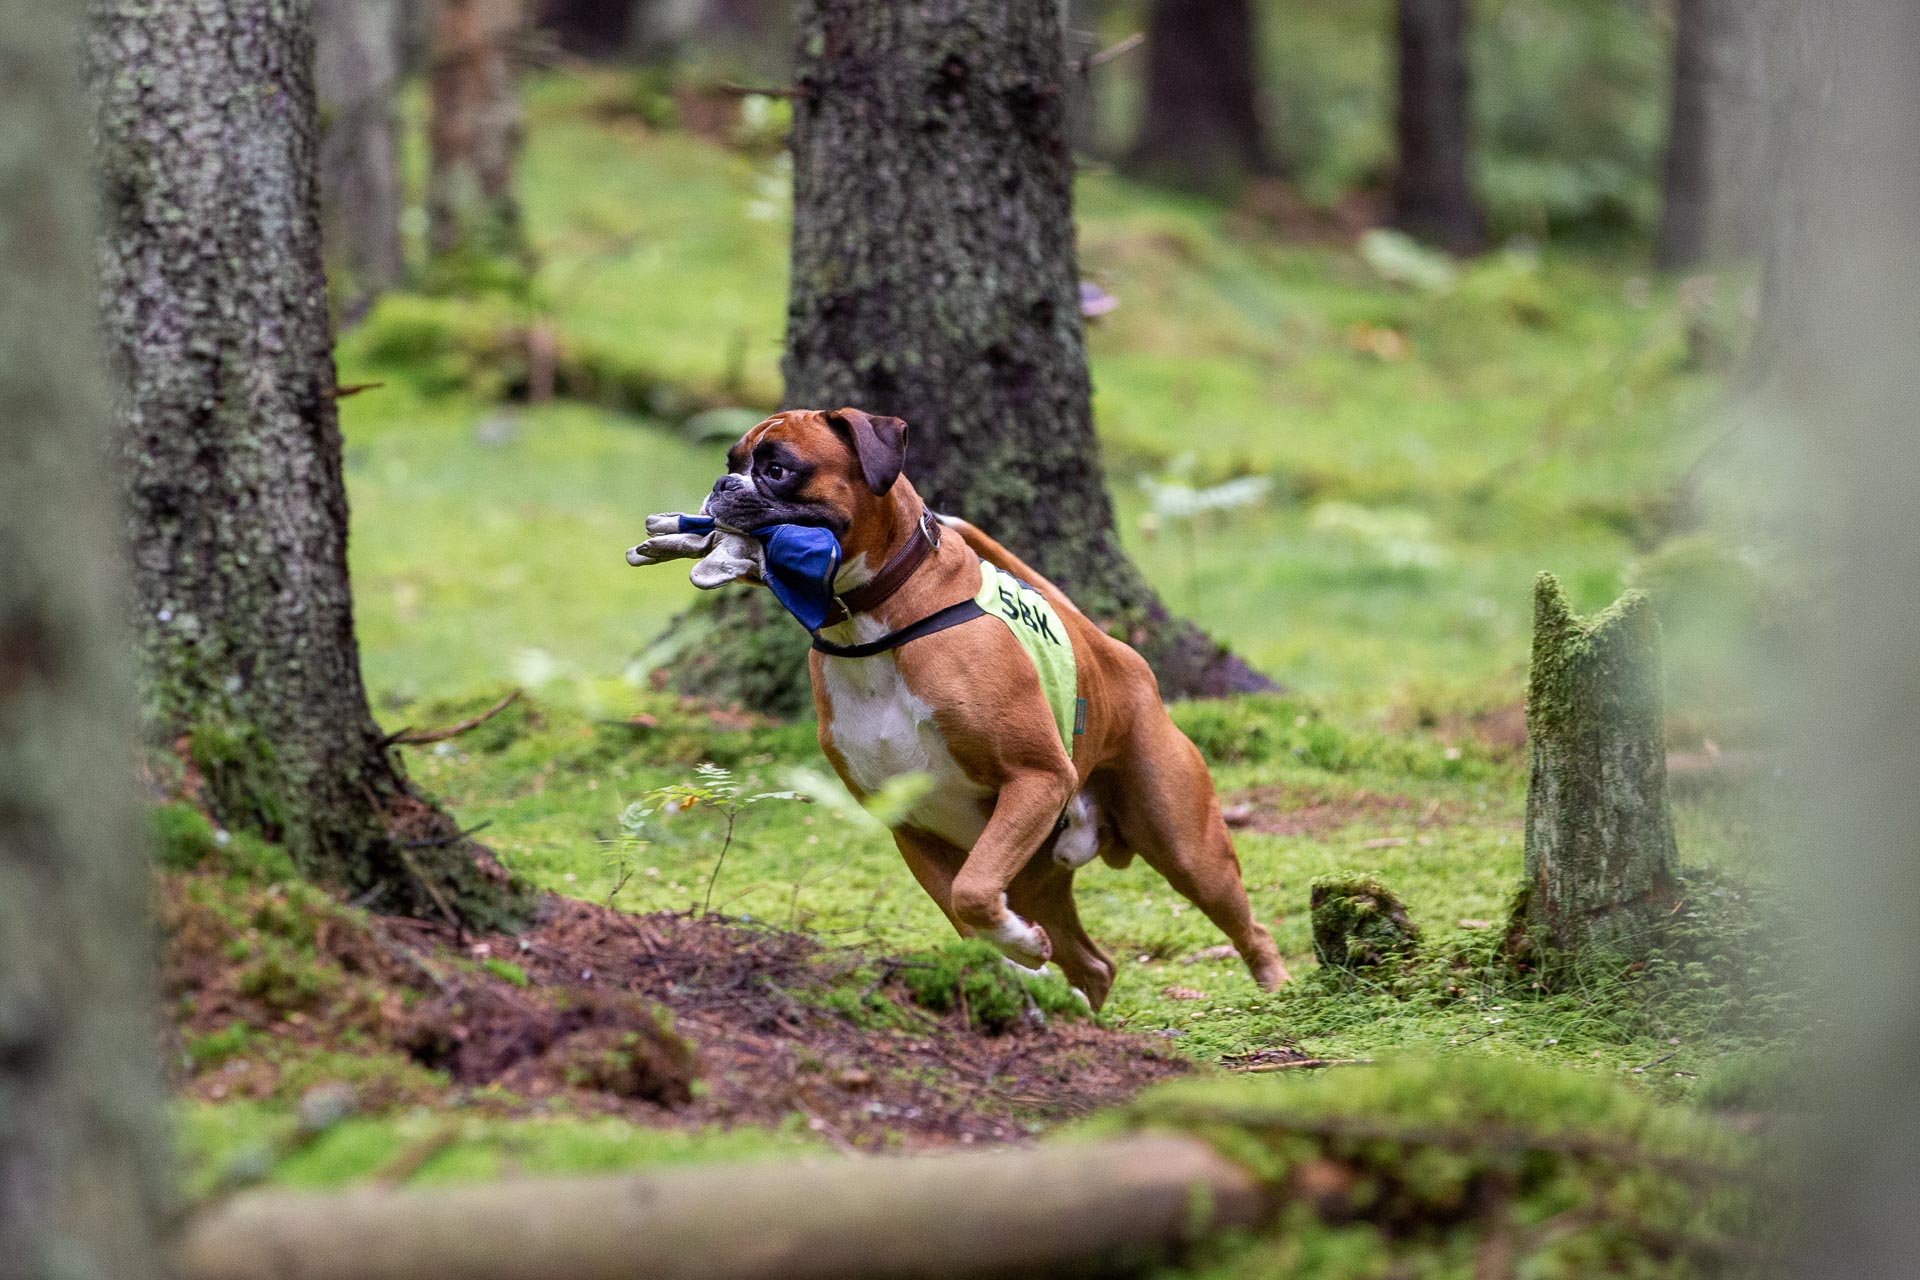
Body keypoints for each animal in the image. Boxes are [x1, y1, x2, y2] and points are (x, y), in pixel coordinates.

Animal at [633, 410, 1290, 1013]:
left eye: (777, 469)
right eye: (732, 462)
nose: (721, 486)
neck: (871, 623)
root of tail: (1118, 651)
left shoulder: (1036, 779)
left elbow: (972, 894)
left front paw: (1019, 950)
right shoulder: (912, 826)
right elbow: (963, 909)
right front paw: (1018, 959)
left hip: (1183, 844)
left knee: (1248, 927)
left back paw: (1277, 992)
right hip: (1036, 872)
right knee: (1096, 964)